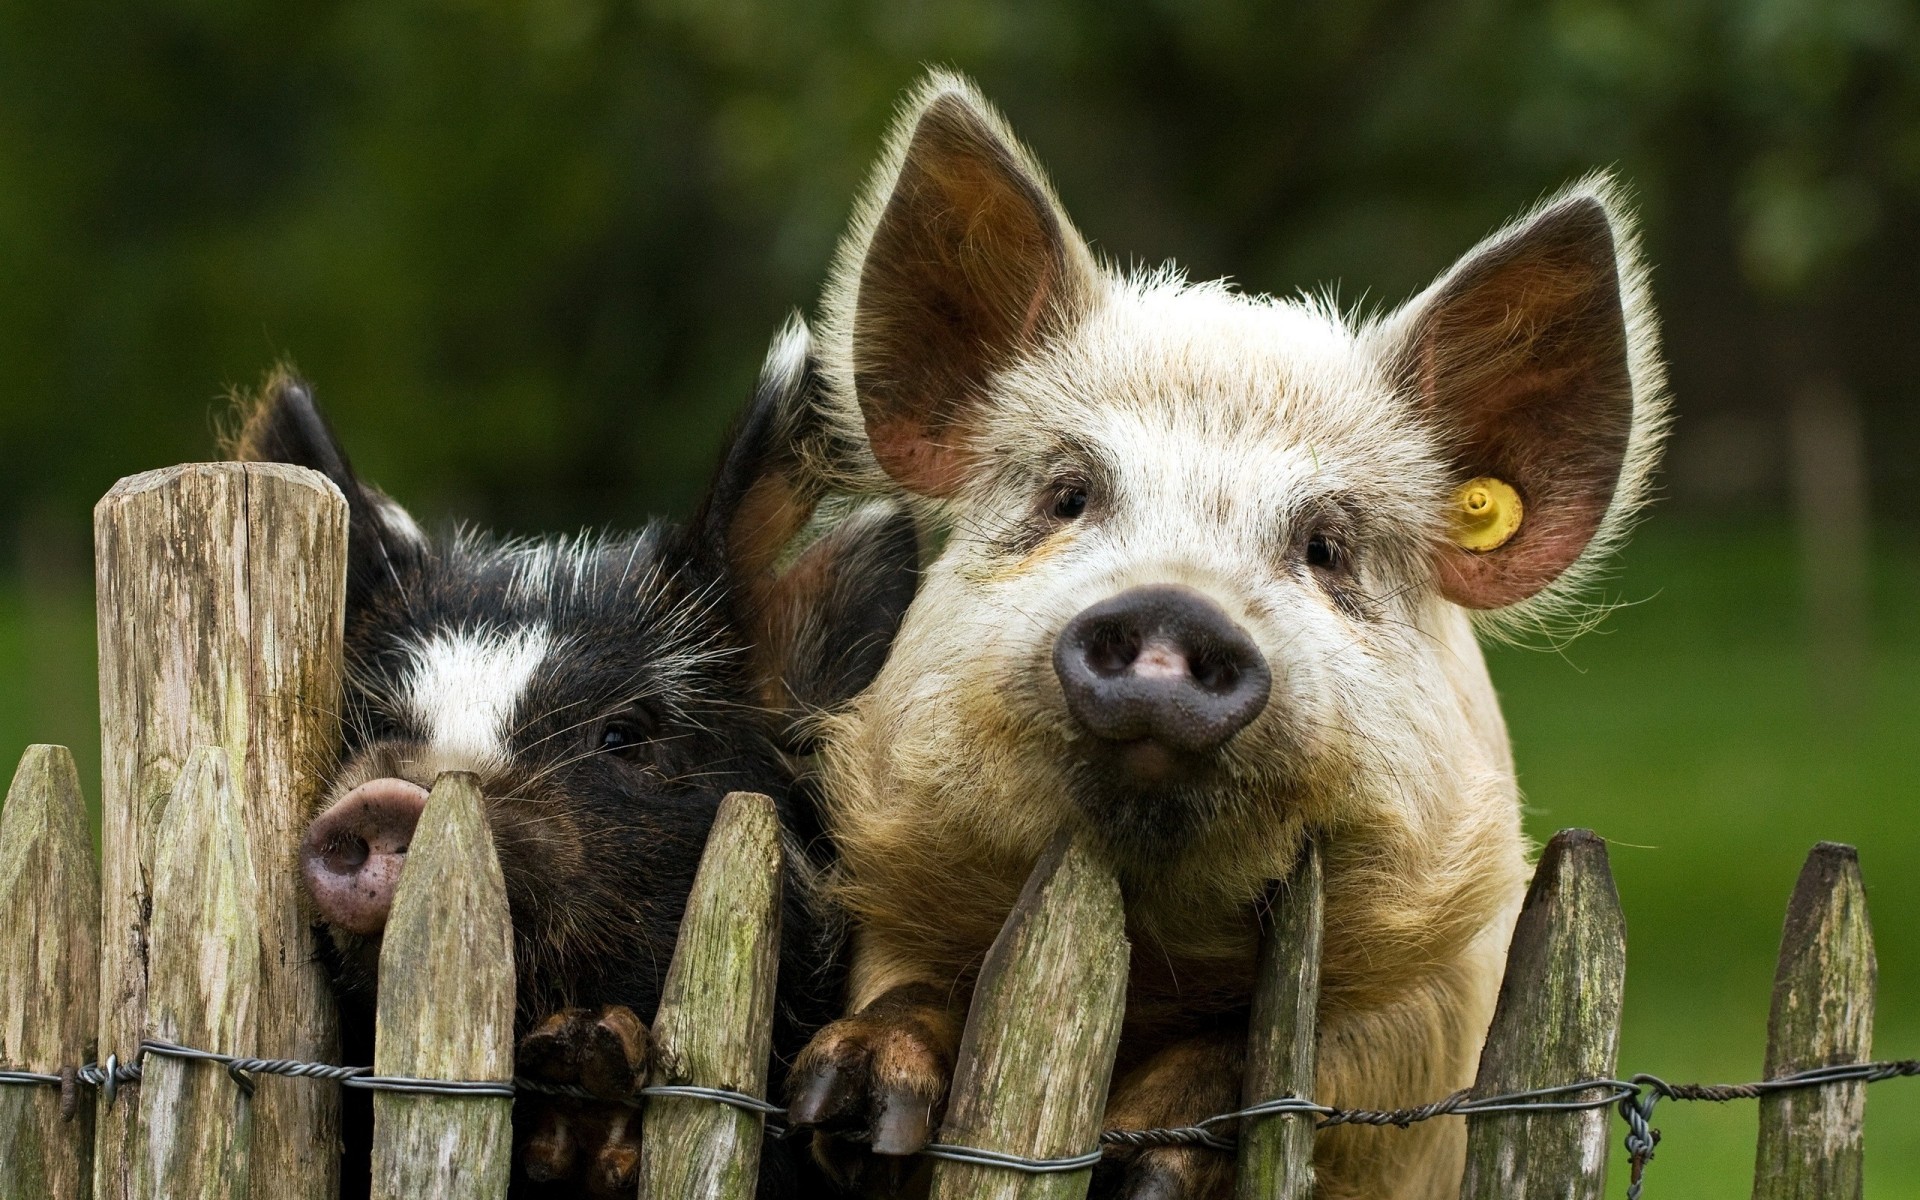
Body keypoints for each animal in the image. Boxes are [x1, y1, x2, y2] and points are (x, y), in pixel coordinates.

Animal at [780, 74, 1668, 1200]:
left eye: (1327, 546)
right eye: (1069, 494)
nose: (1175, 609)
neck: (1154, 961)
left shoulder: (1438, 991)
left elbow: (1293, 1061)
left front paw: (1141, 1160)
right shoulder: (894, 892)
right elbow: (909, 990)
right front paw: (850, 1111)